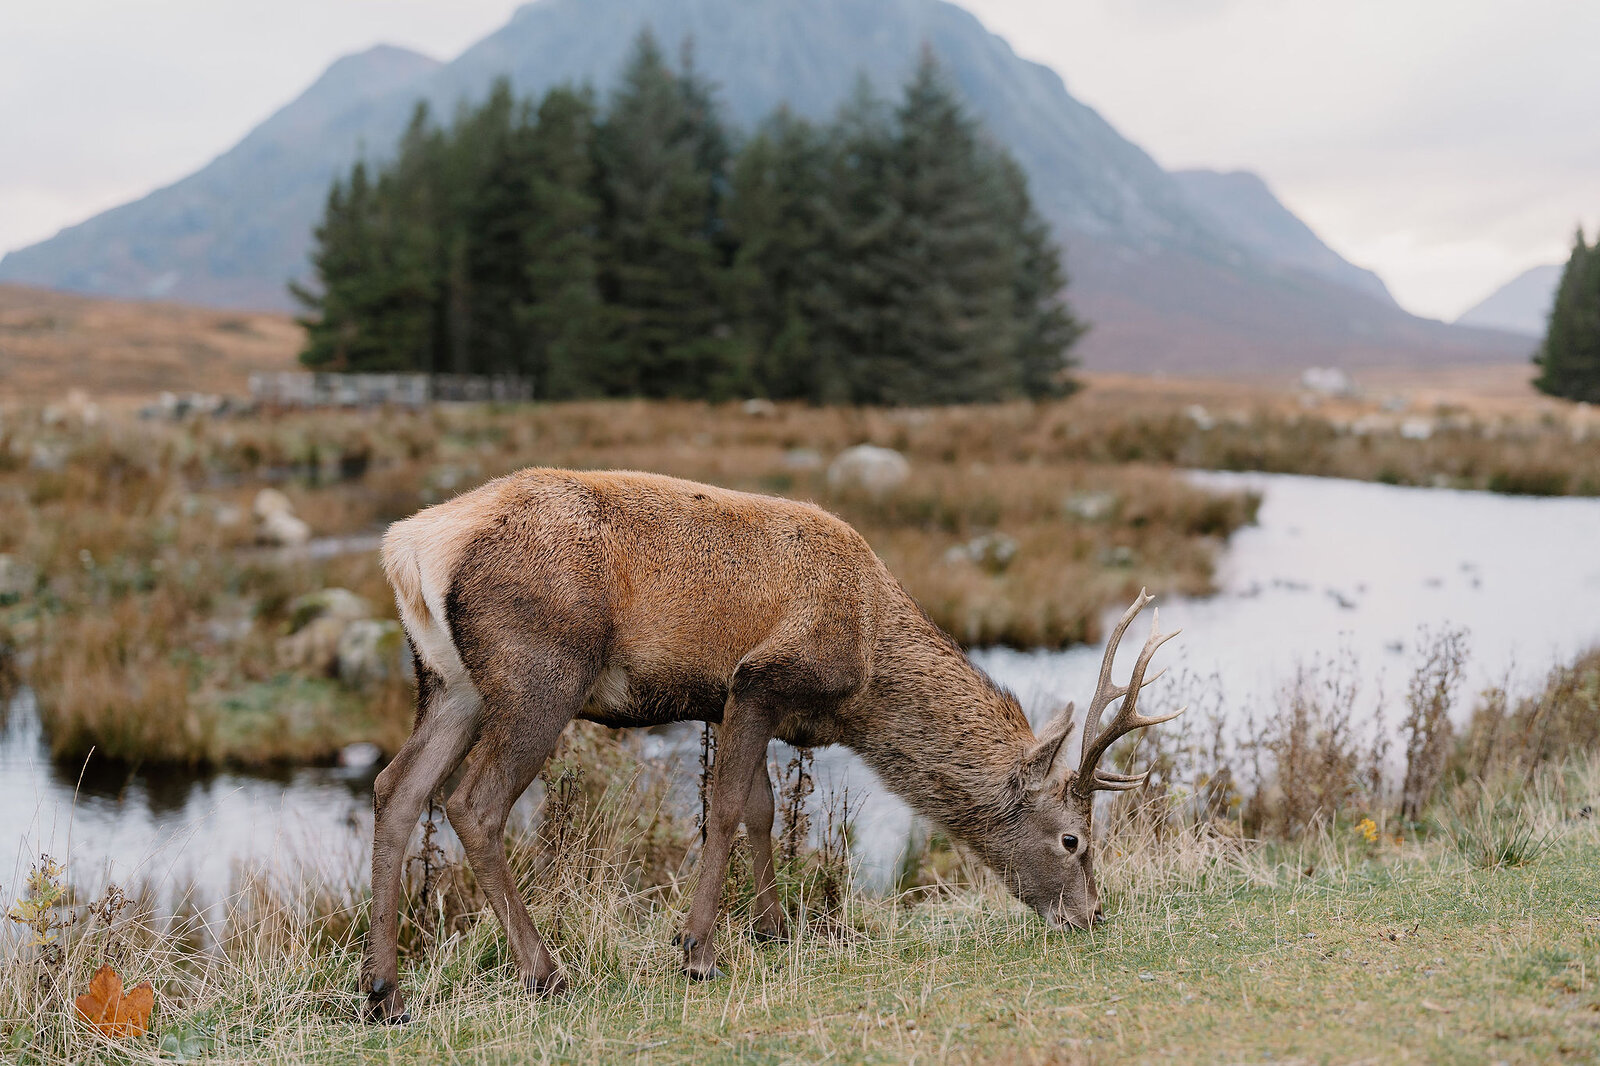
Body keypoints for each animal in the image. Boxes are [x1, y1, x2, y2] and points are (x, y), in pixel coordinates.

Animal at [361, 468, 1182, 1023]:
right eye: (1073, 839)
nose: (1092, 915)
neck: (865, 669)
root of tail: (409, 547)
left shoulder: (739, 701)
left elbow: (760, 810)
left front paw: (773, 929)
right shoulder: (759, 678)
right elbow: (724, 810)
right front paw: (697, 951)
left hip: (448, 682)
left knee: (395, 787)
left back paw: (383, 993)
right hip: (541, 669)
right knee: (472, 803)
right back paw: (546, 973)